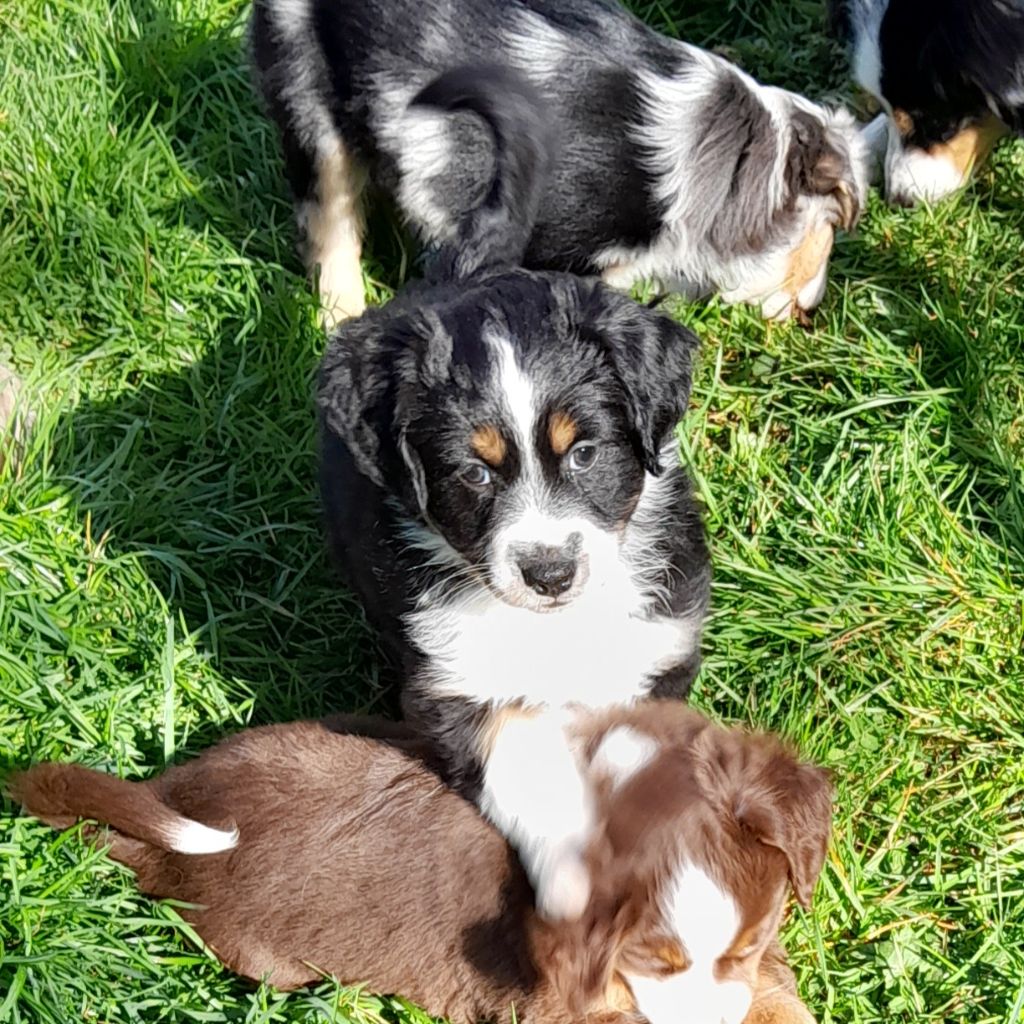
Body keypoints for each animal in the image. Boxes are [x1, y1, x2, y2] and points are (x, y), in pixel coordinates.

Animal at [316, 66, 710, 919]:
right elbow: (524, 775)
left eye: (585, 452)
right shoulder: (453, 689)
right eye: (474, 472)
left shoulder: (656, 652)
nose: (550, 573)